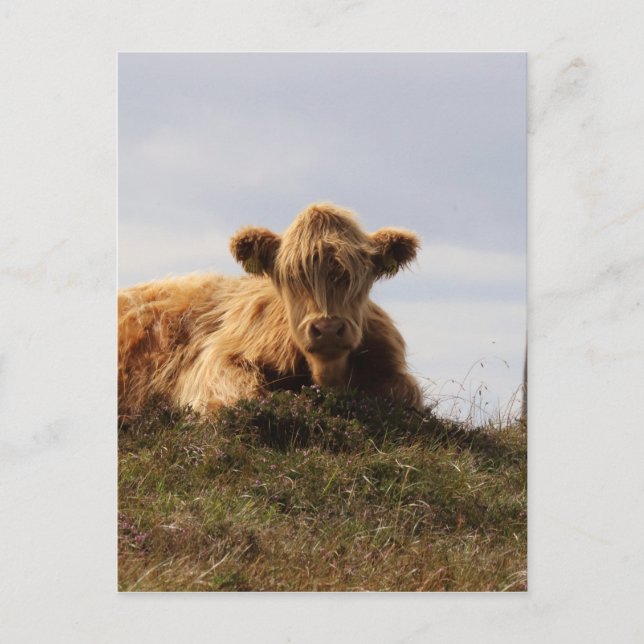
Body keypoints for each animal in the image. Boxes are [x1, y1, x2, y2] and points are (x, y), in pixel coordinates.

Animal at [118, 203, 423, 418]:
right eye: (291, 276)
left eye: (358, 275)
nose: (327, 329)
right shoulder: (217, 364)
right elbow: (239, 397)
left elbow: (406, 394)